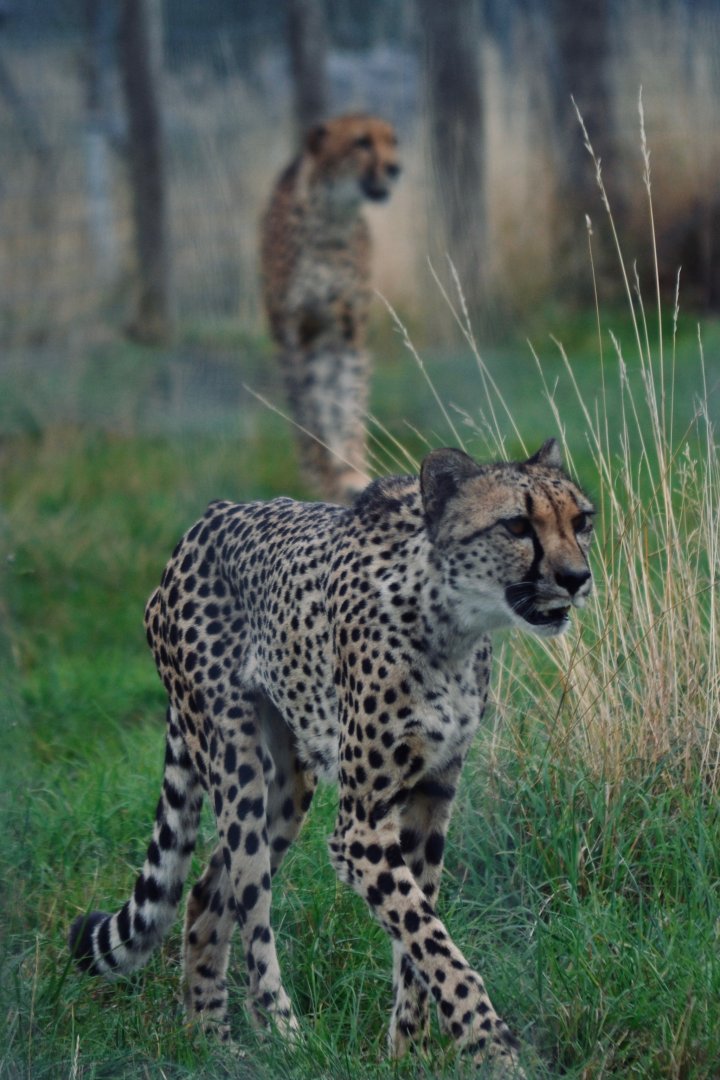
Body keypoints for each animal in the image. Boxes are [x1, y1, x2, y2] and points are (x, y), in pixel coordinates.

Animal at [69, 438, 594, 1075]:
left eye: (581, 521)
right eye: (517, 525)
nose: (576, 578)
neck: (451, 622)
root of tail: (205, 520)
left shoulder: (432, 793)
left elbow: (418, 936)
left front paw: (408, 1050)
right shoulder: (361, 826)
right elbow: (432, 940)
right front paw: (493, 1047)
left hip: (288, 787)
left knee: (207, 890)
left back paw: (209, 1038)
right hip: (235, 763)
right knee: (249, 903)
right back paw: (284, 1035)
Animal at [259, 113, 401, 503]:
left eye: (393, 141)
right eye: (361, 142)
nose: (395, 167)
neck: (333, 217)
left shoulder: (348, 332)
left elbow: (347, 404)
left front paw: (351, 471)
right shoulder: (297, 332)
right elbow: (314, 414)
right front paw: (325, 474)